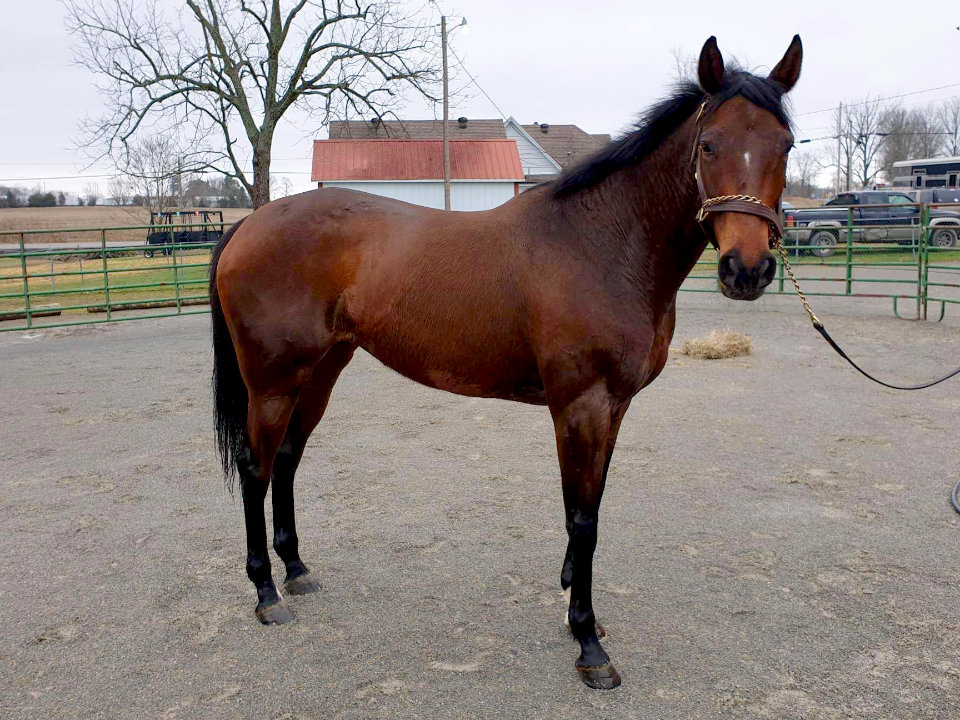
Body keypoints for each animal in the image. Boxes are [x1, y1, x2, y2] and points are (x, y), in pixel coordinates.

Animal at [209, 35, 802, 690]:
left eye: (785, 144)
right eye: (708, 144)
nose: (747, 269)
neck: (603, 243)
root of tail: (248, 225)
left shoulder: (614, 407)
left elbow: (591, 505)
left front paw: (575, 603)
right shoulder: (580, 405)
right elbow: (582, 519)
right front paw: (588, 642)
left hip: (320, 371)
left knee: (287, 459)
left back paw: (296, 570)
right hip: (272, 380)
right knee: (257, 467)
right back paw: (266, 593)